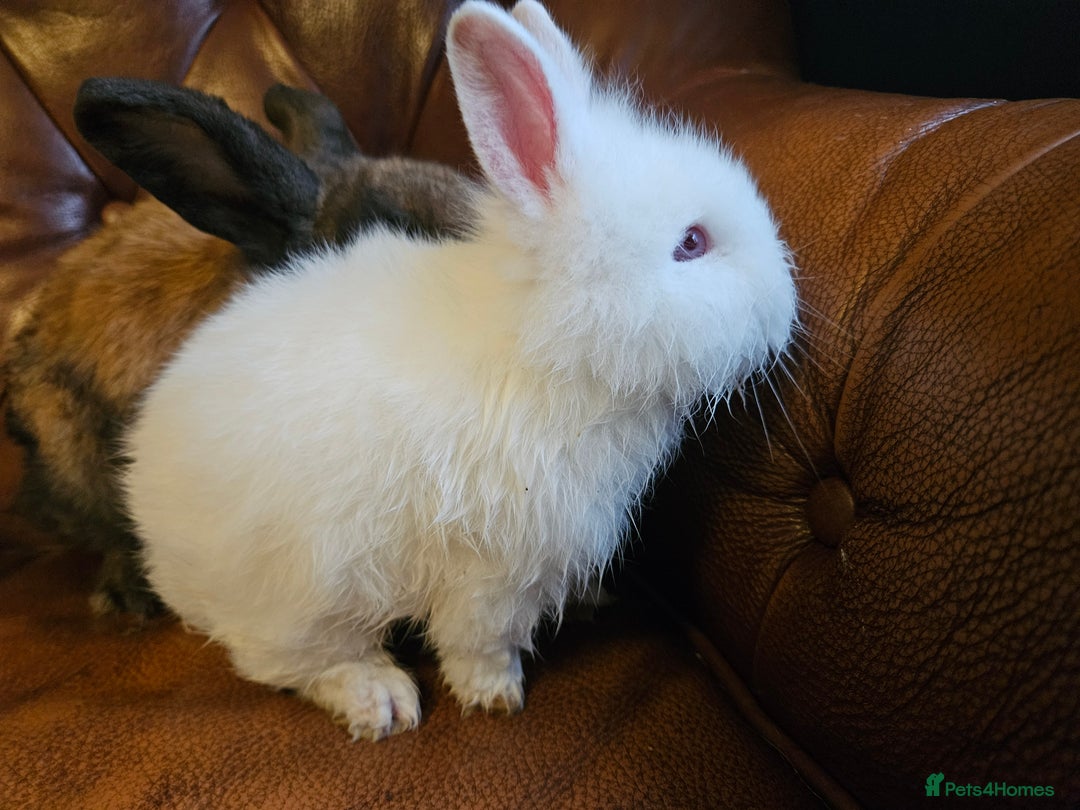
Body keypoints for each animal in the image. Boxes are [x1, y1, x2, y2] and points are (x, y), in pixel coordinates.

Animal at [122, 0, 797, 740]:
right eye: (692, 244)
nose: (787, 307)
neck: (542, 346)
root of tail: (148, 516)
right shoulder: (492, 569)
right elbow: (480, 640)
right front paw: (496, 696)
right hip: (301, 591)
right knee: (285, 658)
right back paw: (381, 699)